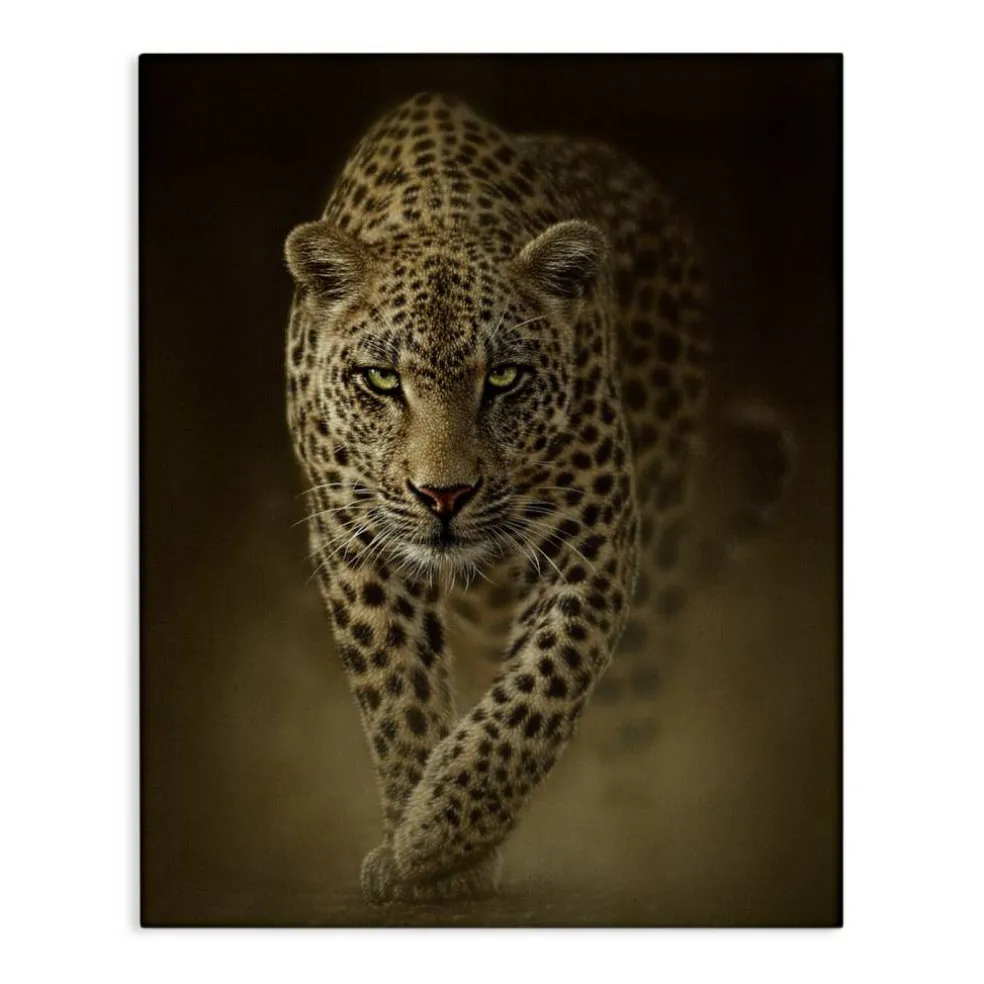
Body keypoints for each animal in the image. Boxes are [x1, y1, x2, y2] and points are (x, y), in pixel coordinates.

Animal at [283, 92, 792, 903]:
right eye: (382, 380)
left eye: (504, 378)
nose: (444, 496)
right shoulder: (352, 537)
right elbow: (396, 690)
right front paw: (419, 847)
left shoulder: (596, 531)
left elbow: (541, 688)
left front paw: (441, 835)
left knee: (630, 706)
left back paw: (628, 833)